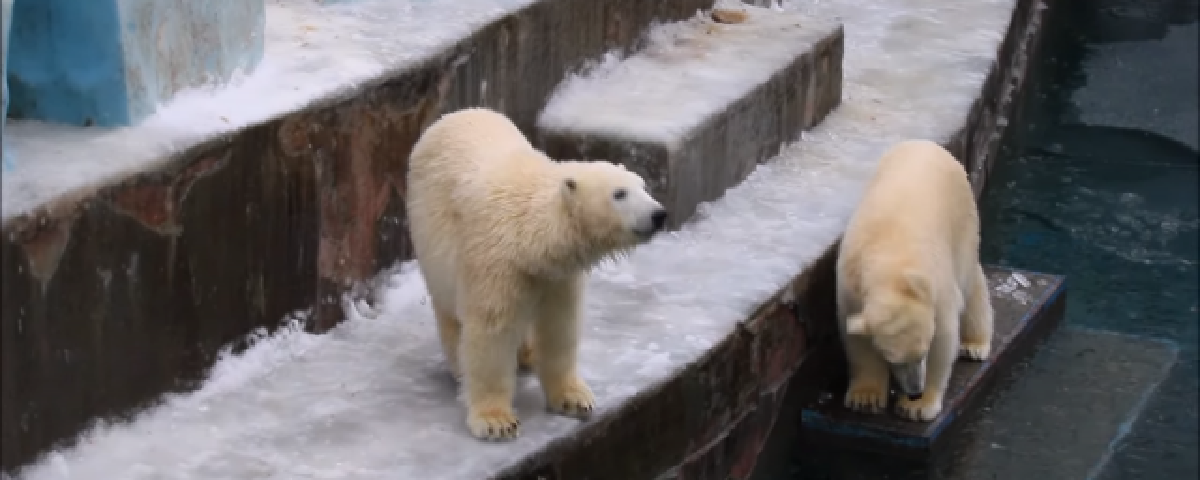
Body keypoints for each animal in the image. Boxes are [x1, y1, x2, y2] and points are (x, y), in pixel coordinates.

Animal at [408, 106, 672, 441]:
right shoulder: (493, 262)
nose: (659, 214)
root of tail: (450, 117)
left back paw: (527, 354)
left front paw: (574, 399)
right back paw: (460, 365)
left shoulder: (557, 276)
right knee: (449, 310)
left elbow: (559, 327)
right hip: (430, 231)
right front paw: (496, 421)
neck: (529, 236)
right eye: (619, 194)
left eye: (643, 187)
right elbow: (491, 332)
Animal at [835, 138, 993, 420]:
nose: (915, 392)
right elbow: (856, 338)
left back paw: (974, 344)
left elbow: (944, 335)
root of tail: (927, 144)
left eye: (923, 353)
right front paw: (865, 398)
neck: (891, 262)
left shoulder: (935, 286)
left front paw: (918, 408)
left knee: (969, 278)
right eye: (893, 359)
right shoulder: (850, 285)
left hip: (962, 215)